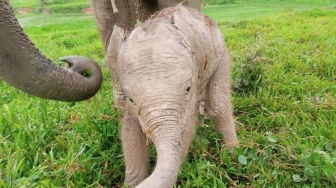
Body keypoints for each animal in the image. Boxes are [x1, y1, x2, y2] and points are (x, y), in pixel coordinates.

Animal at [105, 4, 239, 188]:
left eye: (188, 88)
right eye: (130, 98)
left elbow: (185, 132)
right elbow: (130, 129)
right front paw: (131, 183)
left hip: (220, 51)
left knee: (218, 105)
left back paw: (233, 154)